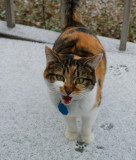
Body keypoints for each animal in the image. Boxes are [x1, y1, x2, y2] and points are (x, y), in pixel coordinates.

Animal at [43, 0, 106, 144]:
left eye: (80, 80)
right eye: (60, 77)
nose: (68, 89)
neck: (73, 104)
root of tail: (75, 24)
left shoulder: (93, 107)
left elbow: (87, 124)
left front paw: (86, 137)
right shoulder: (63, 110)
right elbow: (70, 122)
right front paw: (72, 134)